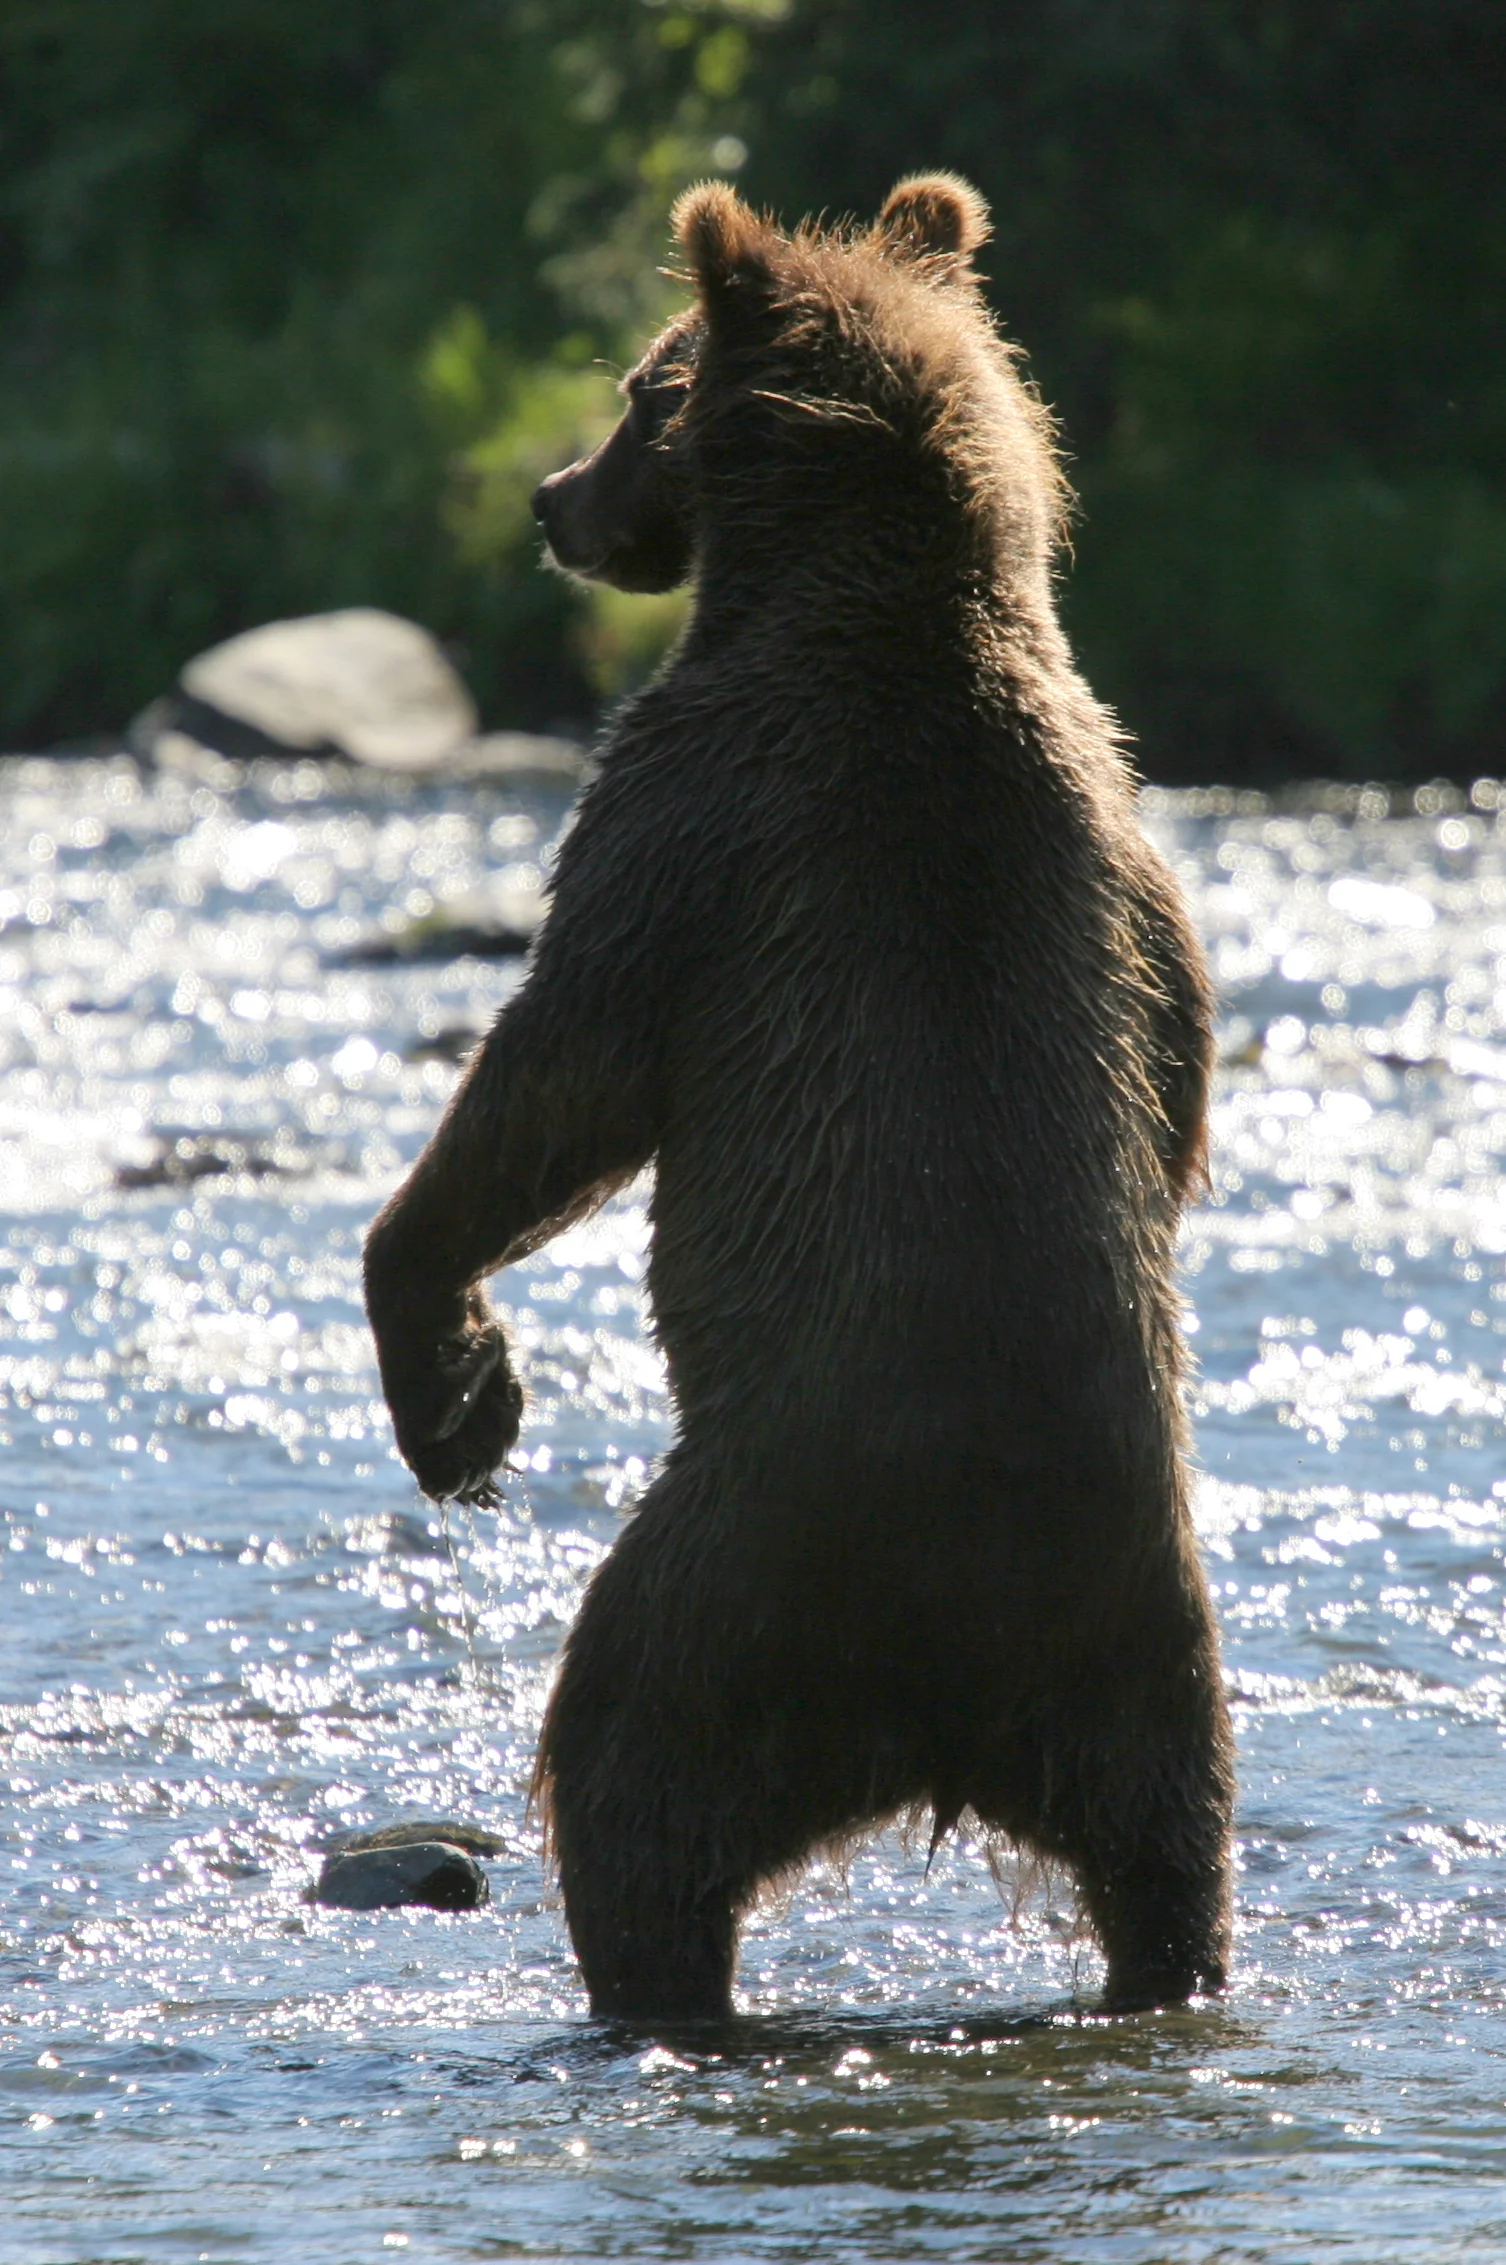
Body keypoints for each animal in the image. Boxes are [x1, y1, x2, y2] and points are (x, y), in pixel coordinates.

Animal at [363, 173, 1235, 2023]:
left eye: (643, 389)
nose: (550, 499)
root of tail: (944, 1692)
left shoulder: (697, 813)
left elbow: (559, 1075)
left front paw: (455, 1385)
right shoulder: (1134, 858)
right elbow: (1180, 1080)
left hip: (728, 1581)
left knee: (625, 1784)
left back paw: (642, 1977)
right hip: (1144, 1657)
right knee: (1172, 1856)